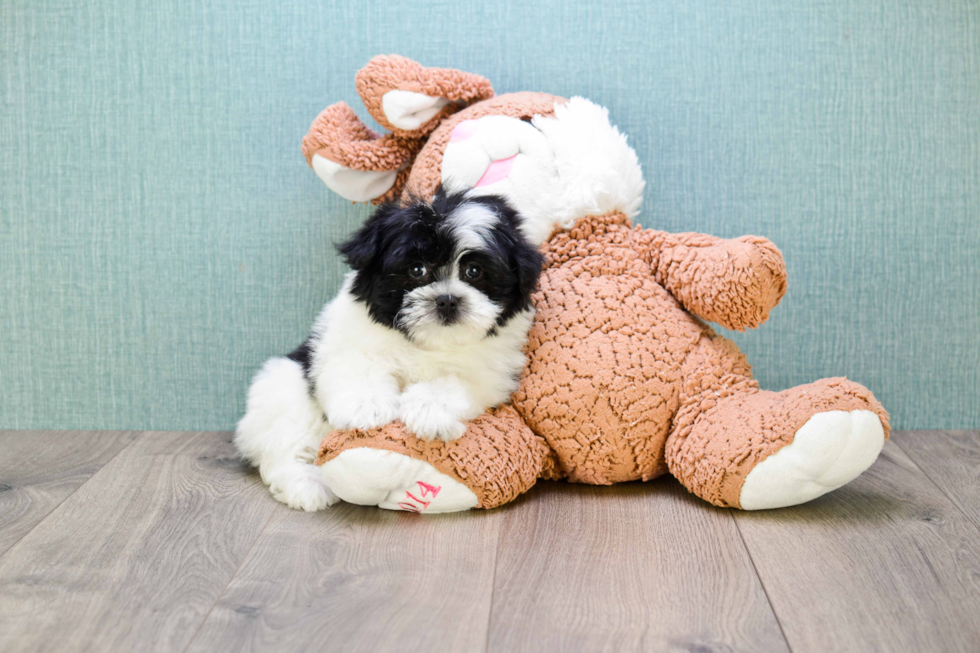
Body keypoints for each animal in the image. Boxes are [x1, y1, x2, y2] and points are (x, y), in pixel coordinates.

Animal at [235, 188, 544, 510]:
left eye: (474, 271)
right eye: (417, 269)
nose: (447, 299)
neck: (429, 344)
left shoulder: (489, 370)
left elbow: (453, 382)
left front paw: (428, 410)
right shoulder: (345, 343)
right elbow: (360, 368)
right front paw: (367, 408)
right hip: (281, 389)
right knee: (286, 446)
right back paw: (307, 484)